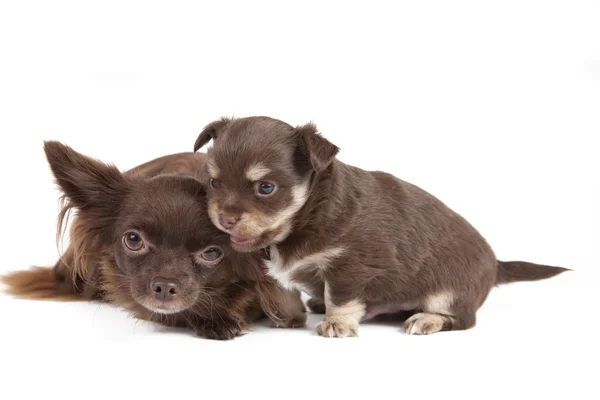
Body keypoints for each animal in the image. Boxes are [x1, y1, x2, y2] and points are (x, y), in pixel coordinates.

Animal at [196, 115, 568, 338]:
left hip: (450, 292)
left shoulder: (351, 264)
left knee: (463, 319)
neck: (309, 214)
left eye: (266, 188)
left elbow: (340, 295)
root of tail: (496, 263)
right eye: (213, 183)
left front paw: (336, 323)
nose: (225, 218)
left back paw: (427, 319)